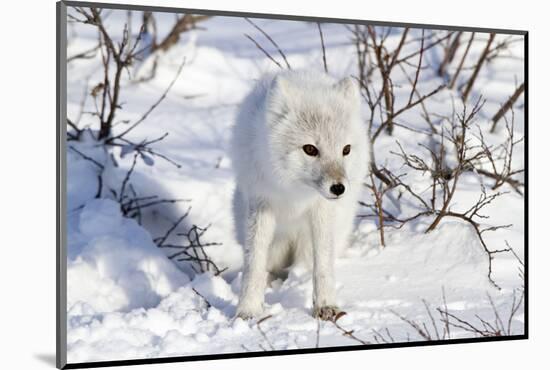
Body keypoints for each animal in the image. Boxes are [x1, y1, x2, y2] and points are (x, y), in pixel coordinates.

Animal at [231, 70, 368, 320]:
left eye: (346, 149)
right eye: (310, 149)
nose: (338, 188)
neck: (294, 191)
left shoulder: (321, 209)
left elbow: (323, 265)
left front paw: (326, 306)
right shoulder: (261, 202)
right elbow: (254, 263)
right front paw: (248, 310)